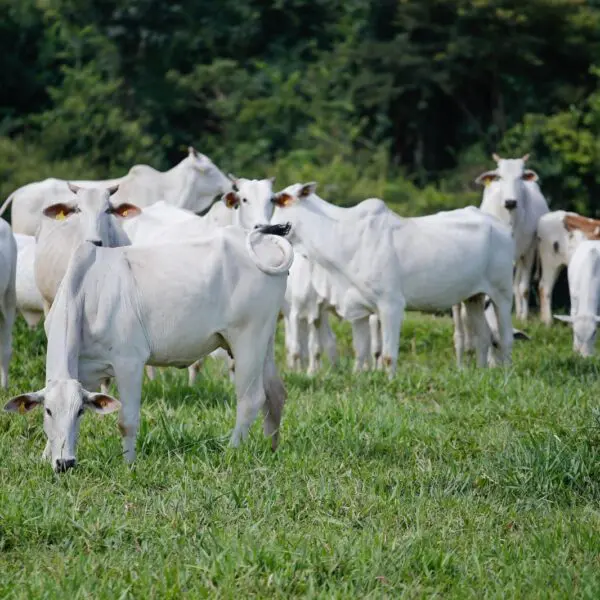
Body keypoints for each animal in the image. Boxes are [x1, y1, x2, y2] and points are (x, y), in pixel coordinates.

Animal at [4, 223, 296, 472]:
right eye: (48, 411)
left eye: (79, 411)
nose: (65, 463)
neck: (86, 291)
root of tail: (262, 240)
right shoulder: (84, 370)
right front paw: (47, 458)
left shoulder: (129, 363)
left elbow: (126, 421)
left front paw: (128, 464)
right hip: (264, 339)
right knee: (275, 393)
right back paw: (272, 448)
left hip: (247, 338)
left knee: (251, 399)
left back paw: (232, 451)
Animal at [270, 185, 512, 378]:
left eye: (281, 200)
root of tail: (500, 226)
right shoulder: (357, 310)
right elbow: (360, 351)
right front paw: (359, 377)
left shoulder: (391, 305)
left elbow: (387, 355)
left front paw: (390, 380)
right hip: (474, 297)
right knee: (484, 336)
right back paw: (481, 372)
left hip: (502, 294)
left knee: (505, 337)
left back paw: (506, 372)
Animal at [476, 156, 552, 324]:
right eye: (500, 177)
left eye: (520, 177)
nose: (510, 202)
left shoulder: (529, 251)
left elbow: (523, 288)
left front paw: (523, 318)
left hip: (522, 256)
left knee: (518, 285)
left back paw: (519, 314)